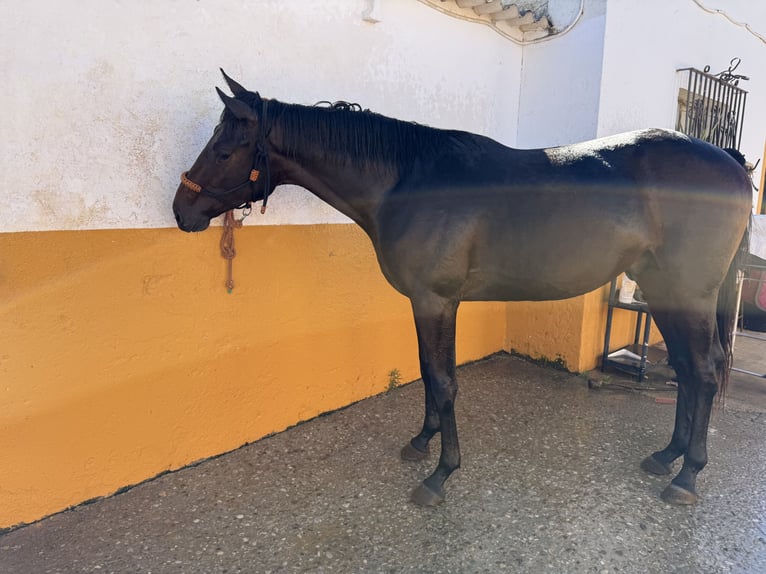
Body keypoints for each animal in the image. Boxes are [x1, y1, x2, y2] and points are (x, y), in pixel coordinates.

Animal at [173, 70, 752, 507]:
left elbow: (445, 380)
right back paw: (666, 456)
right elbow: (429, 372)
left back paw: (687, 476)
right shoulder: (424, 302)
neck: (408, 181)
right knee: (685, 369)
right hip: (662, 288)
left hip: (690, 293)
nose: (182, 211)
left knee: (702, 371)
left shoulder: (437, 300)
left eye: (224, 149)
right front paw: (421, 442)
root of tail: (731, 161)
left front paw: (440, 475)